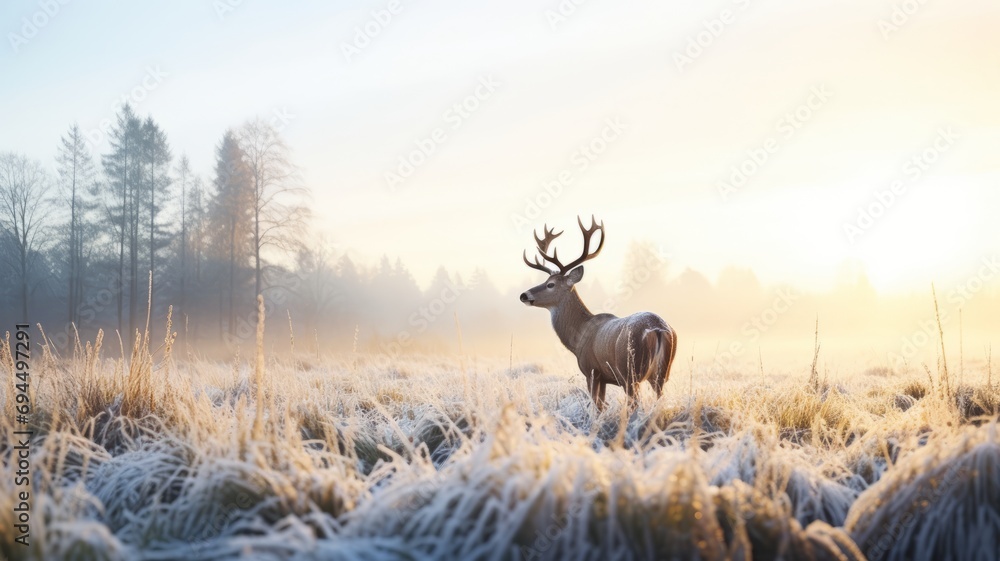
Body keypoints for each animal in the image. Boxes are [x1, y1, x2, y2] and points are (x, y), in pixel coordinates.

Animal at [519, 216, 678, 412]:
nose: (524, 295)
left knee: (635, 402)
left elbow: (597, 407)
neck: (578, 337)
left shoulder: (592, 371)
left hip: (630, 372)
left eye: (550, 284)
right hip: (663, 372)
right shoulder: (604, 378)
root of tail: (657, 329)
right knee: (660, 399)